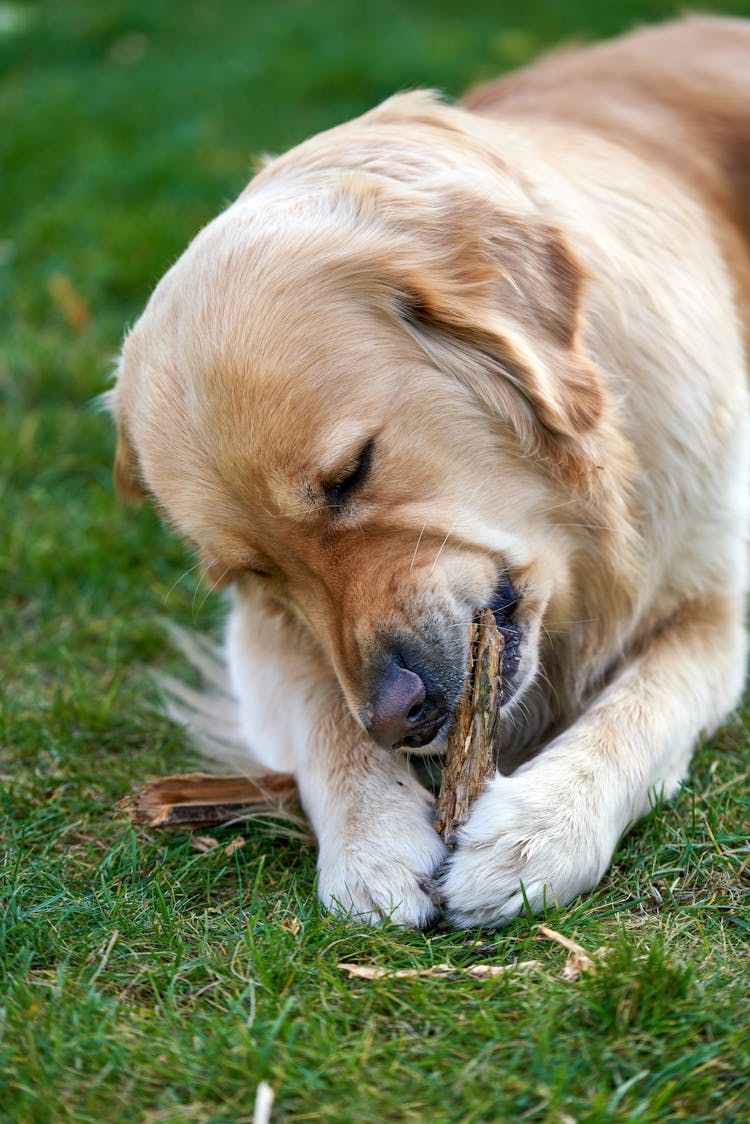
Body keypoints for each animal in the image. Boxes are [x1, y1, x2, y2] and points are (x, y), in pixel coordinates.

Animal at [110, 17, 750, 926]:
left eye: (352, 472)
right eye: (257, 574)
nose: (397, 720)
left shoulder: (710, 607)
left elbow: (641, 708)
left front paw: (537, 832)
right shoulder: (259, 641)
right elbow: (323, 715)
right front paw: (372, 843)